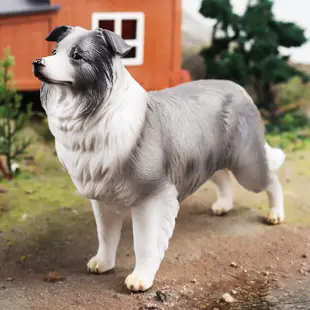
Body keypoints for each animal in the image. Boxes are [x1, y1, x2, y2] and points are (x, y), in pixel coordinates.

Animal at [32, 25, 284, 292]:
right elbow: (106, 235)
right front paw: (102, 263)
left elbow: (145, 243)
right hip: (209, 160)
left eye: (77, 56)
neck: (97, 112)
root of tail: (239, 88)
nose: (37, 63)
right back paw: (223, 205)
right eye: (55, 51)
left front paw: (140, 279)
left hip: (247, 165)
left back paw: (276, 214)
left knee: (272, 180)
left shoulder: (152, 195)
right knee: (223, 176)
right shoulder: (103, 197)